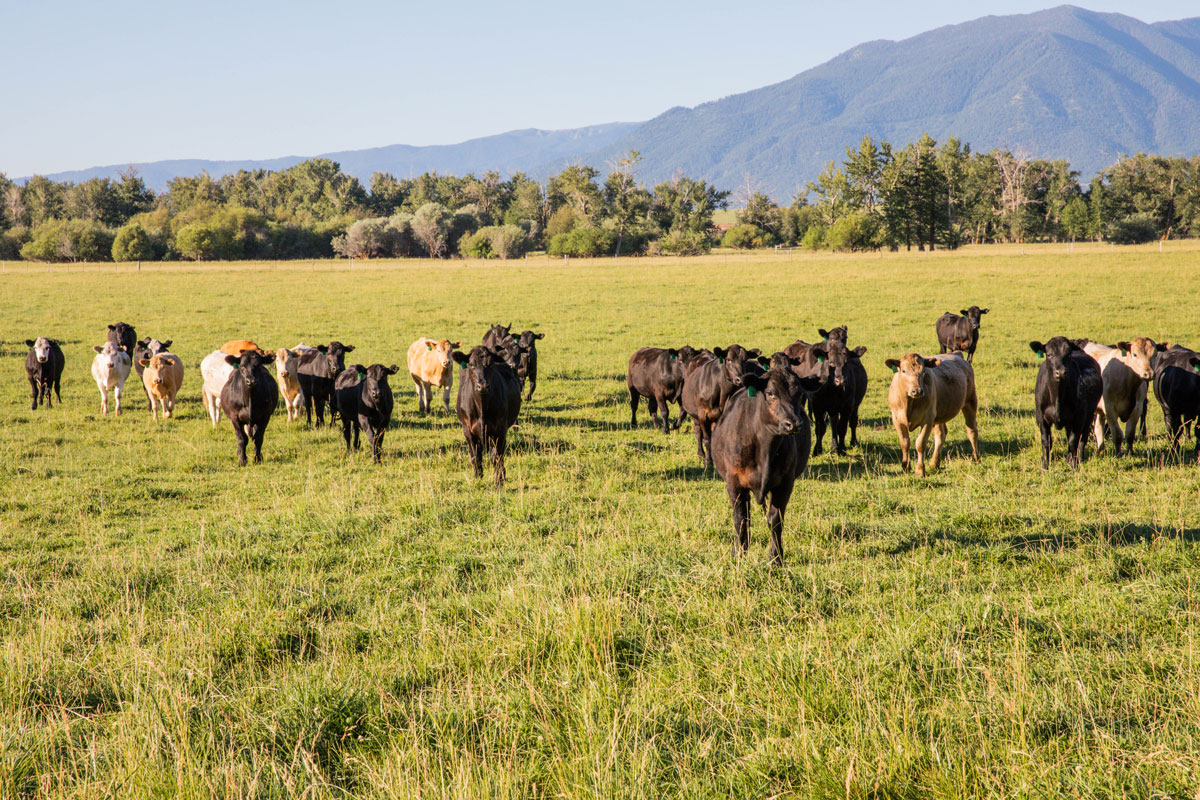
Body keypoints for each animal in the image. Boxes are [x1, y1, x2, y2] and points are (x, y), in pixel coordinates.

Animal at [710, 367, 806, 566]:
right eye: (770, 393)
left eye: (800, 394)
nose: (793, 423)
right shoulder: (734, 483)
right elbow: (740, 519)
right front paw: (738, 554)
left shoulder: (785, 483)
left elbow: (775, 520)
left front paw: (776, 558)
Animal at [1032, 335, 1104, 470]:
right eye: (1049, 354)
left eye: (1068, 354)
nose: (1060, 372)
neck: (1057, 398)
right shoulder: (1041, 417)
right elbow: (1046, 442)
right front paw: (1045, 466)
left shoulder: (1079, 417)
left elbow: (1073, 442)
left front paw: (1074, 466)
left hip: (1089, 415)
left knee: (1083, 438)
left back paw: (1078, 458)